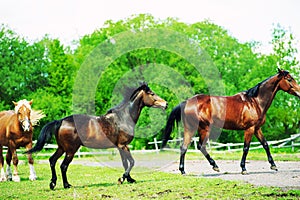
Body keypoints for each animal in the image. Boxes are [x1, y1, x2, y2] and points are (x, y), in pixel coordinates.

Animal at [26, 82, 168, 189]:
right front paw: (122, 179)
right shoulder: (123, 145)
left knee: (52, 160)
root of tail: (60, 121)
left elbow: (125, 163)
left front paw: (129, 179)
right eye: (151, 93)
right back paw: (67, 185)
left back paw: (53, 183)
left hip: (62, 148)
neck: (123, 118)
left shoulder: (119, 146)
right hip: (71, 150)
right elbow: (132, 162)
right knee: (63, 165)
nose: (165, 104)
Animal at [162, 69, 300, 175]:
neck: (254, 102)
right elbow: (246, 148)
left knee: (184, 147)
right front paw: (243, 168)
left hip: (190, 129)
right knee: (200, 146)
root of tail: (186, 102)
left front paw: (273, 165)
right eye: (289, 79)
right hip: (202, 128)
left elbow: (265, 144)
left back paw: (183, 170)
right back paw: (214, 166)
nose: (299, 92)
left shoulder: (257, 129)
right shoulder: (249, 129)